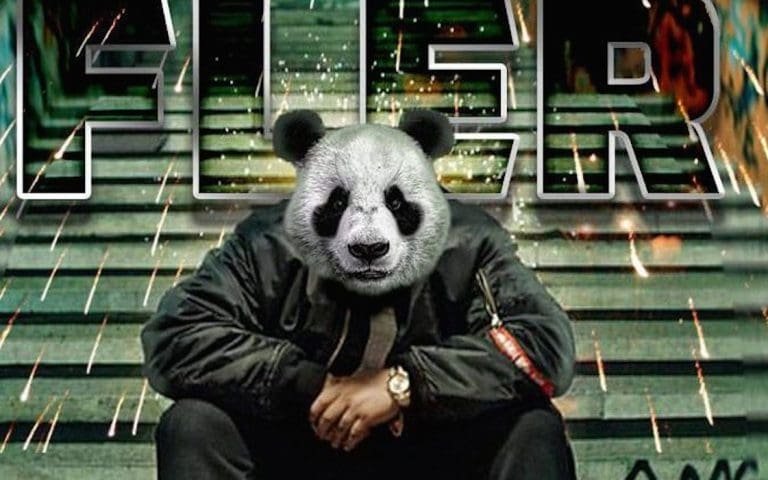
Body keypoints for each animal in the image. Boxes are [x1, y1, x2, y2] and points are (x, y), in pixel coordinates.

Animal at [142, 110, 577, 480]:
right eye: (337, 201)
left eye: (396, 200)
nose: (369, 249)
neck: (368, 293)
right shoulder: (252, 251)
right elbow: (191, 322)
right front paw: (321, 384)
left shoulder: (486, 248)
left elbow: (533, 327)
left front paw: (367, 396)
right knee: (197, 417)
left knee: (527, 416)